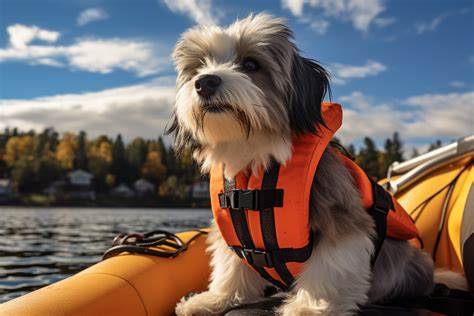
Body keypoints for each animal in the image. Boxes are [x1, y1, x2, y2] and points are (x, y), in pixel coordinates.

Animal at [168, 13, 466, 314]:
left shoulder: (340, 217)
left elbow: (329, 267)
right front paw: (217, 298)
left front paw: (309, 306)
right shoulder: (232, 232)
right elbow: (231, 266)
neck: (258, 154)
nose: (205, 82)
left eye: (251, 64)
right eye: (199, 67)